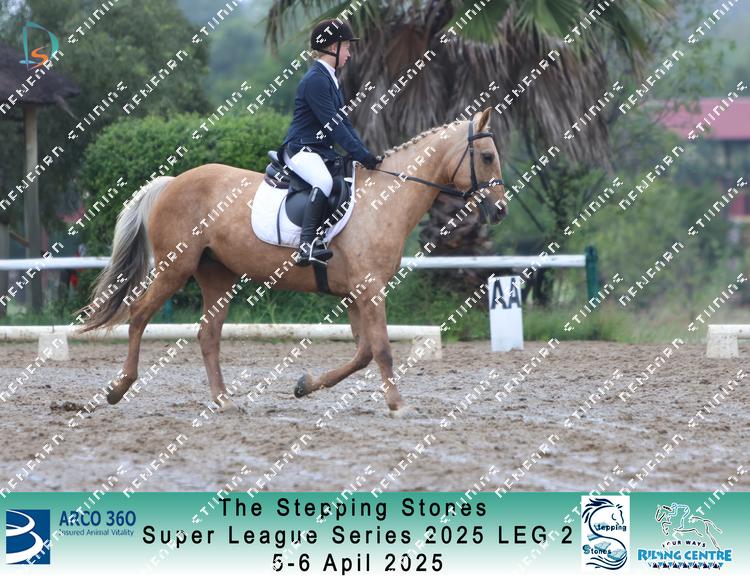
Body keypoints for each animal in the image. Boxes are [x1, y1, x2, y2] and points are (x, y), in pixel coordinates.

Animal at [77, 107, 507, 414]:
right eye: (487, 157)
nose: (500, 211)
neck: (384, 199)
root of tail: (172, 182)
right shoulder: (369, 290)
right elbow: (382, 349)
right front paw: (398, 404)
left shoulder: (355, 294)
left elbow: (363, 353)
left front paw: (305, 385)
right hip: (174, 268)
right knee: (138, 314)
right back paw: (118, 390)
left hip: (217, 276)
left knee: (207, 334)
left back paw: (223, 400)